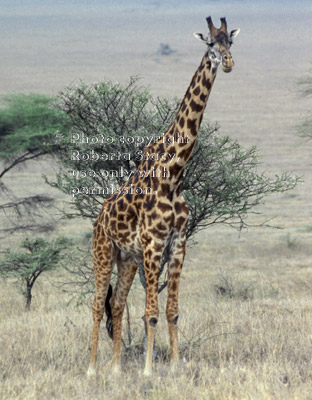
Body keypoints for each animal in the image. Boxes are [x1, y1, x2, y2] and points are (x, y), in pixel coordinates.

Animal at [88, 15, 239, 376]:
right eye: (210, 44)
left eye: (231, 41)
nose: (228, 63)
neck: (175, 174)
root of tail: (98, 219)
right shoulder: (155, 245)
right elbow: (151, 314)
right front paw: (148, 370)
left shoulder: (178, 244)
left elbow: (172, 311)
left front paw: (174, 364)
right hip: (102, 253)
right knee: (98, 305)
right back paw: (91, 368)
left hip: (127, 258)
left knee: (117, 303)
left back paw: (116, 367)